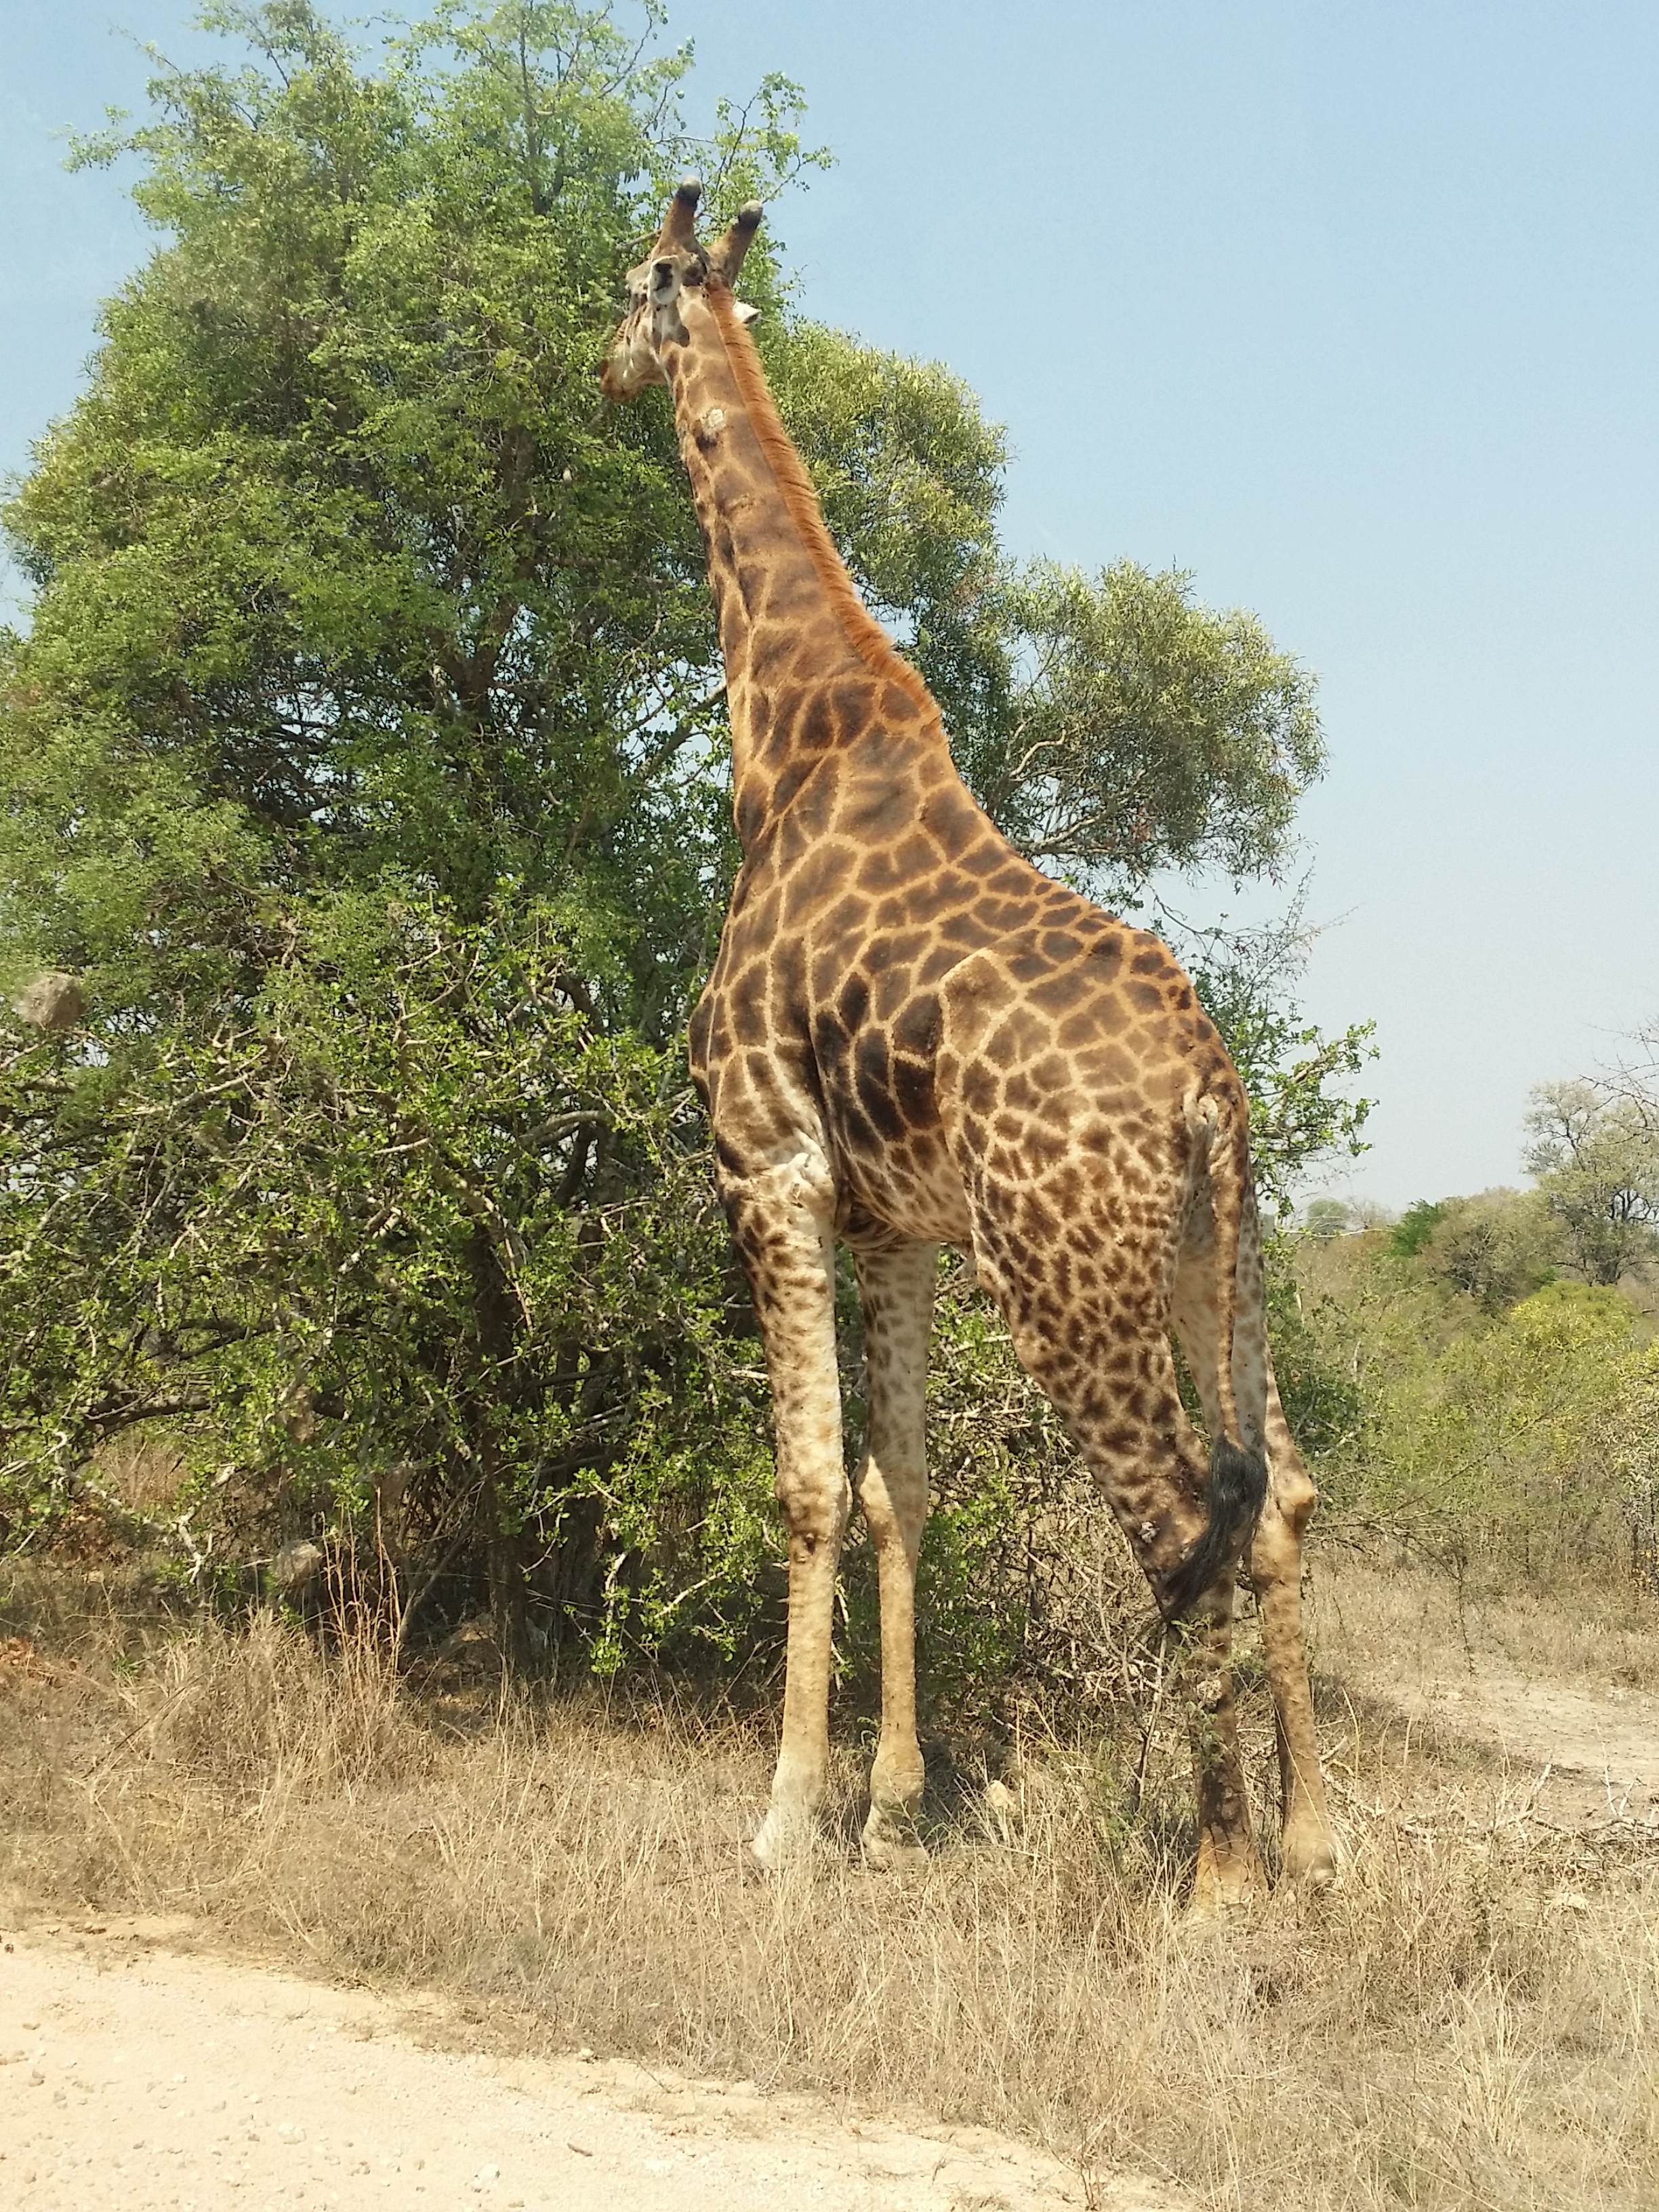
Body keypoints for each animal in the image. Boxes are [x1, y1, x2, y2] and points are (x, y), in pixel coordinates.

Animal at [601, 182, 1337, 1909]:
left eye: (624, 286)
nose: (600, 369)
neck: (786, 745)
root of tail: (1208, 1088)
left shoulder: (769, 1168)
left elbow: (808, 1483)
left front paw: (787, 1819)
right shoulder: (896, 1227)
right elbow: (903, 1488)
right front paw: (888, 1806)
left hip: (1065, 1281)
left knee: (1178, 1521)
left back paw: (1214, 1877)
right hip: (1211, 1256)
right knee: (1274, 1491)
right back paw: (1312, 1839)